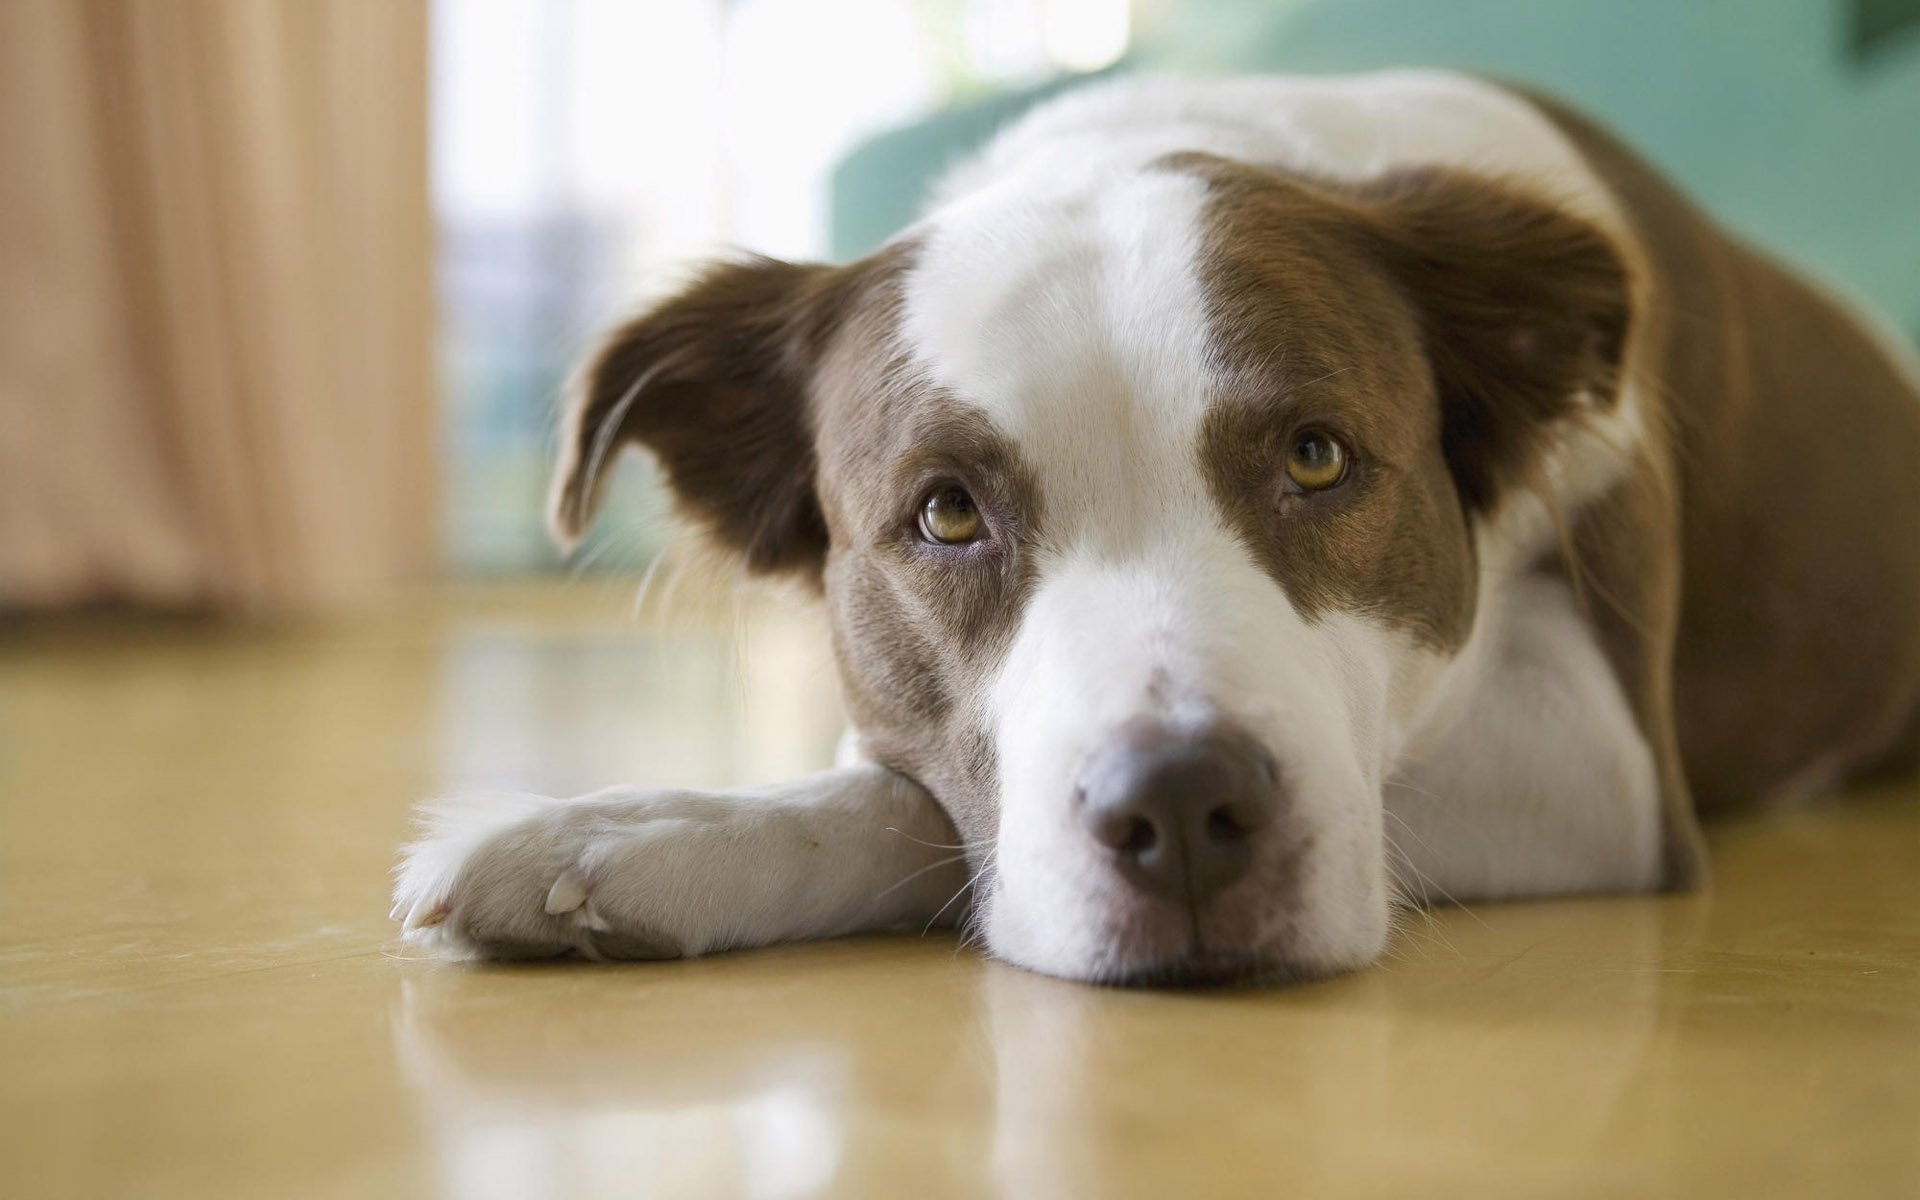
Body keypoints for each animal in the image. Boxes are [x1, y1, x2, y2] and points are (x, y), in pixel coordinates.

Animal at [389, 70, 1920, 983]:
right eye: (946, 513)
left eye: (1317, 458)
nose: (1185, 809)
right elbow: (921, 790)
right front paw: (631, 830)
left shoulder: (1611, 766)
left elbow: (920, 812)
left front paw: (632, 839)